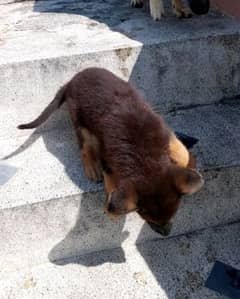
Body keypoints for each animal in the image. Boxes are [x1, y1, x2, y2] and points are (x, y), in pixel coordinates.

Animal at [17, 68, 203, 237]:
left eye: (173, 215)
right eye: (148, 220)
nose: (165, 234)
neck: (144, 155)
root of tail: (71, 81)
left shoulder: (164, 133)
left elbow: (181, 151)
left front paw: (190, 163)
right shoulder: (109, 158)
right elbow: (112, 181)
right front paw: (111, 209)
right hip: (79, 117)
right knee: (85, 143)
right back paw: (92, 166)